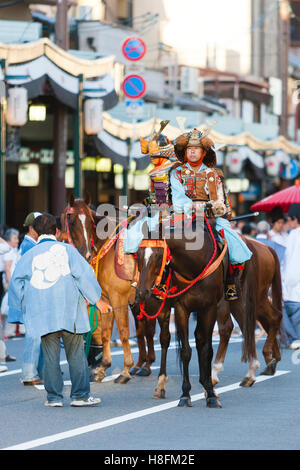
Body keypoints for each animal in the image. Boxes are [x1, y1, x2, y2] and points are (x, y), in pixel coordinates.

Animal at [211, 237, 284, 388]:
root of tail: (265, 247)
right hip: (251, 297)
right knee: (268, 319)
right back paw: (270, 360)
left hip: (253, 296)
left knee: (271, 318)